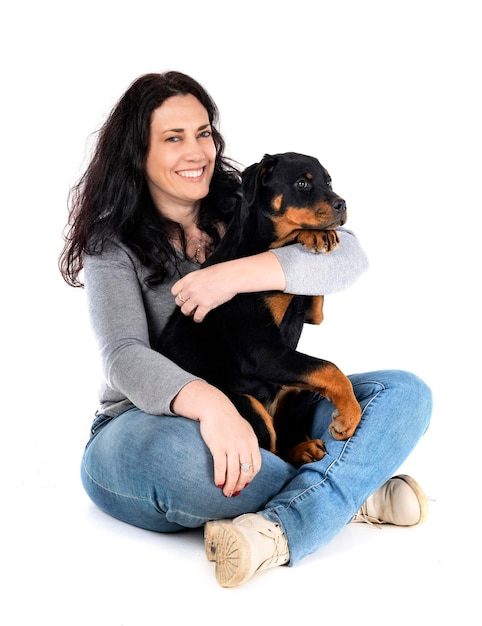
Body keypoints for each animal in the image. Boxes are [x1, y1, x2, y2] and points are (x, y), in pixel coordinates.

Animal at [158, 151, 362, 464]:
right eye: (302, 183)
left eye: (329, 181)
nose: (342, 204)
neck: (257, 246)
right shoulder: (259, 350)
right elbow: (329, 368)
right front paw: (349, 415)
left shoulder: (312, 314)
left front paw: (317, 235)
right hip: (244, 404)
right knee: (271, 451)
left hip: (292, 391)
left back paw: (304, 447)